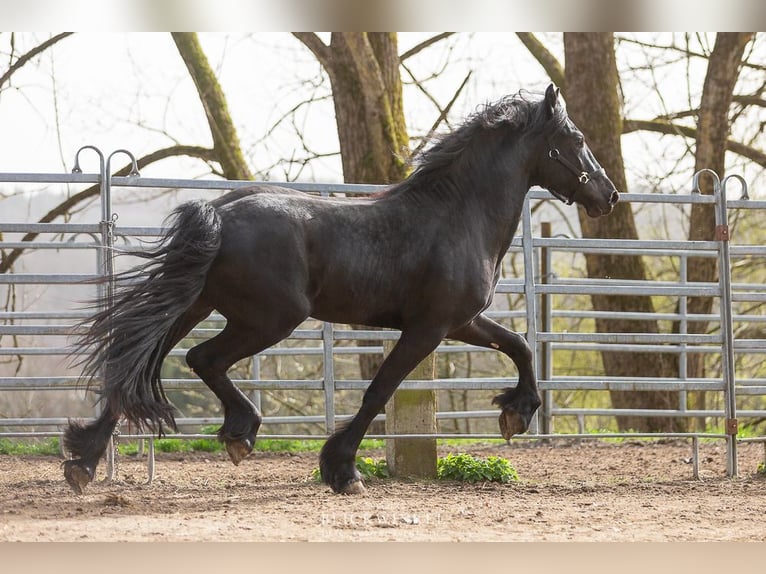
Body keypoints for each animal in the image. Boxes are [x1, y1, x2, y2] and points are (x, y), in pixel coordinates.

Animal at [64, 84, 616, 496]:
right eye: (575, 137)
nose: (607, 195)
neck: (457, 217)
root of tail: (221, 212)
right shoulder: (429, 328)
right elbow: (379, 391)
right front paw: (342, 469)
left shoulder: (461, 321)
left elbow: (519, 345)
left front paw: (516, 414)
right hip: (269, 318)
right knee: (201, 359)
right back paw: (239, 432)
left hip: (197, 305)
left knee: (139, 363)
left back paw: (84, 461)